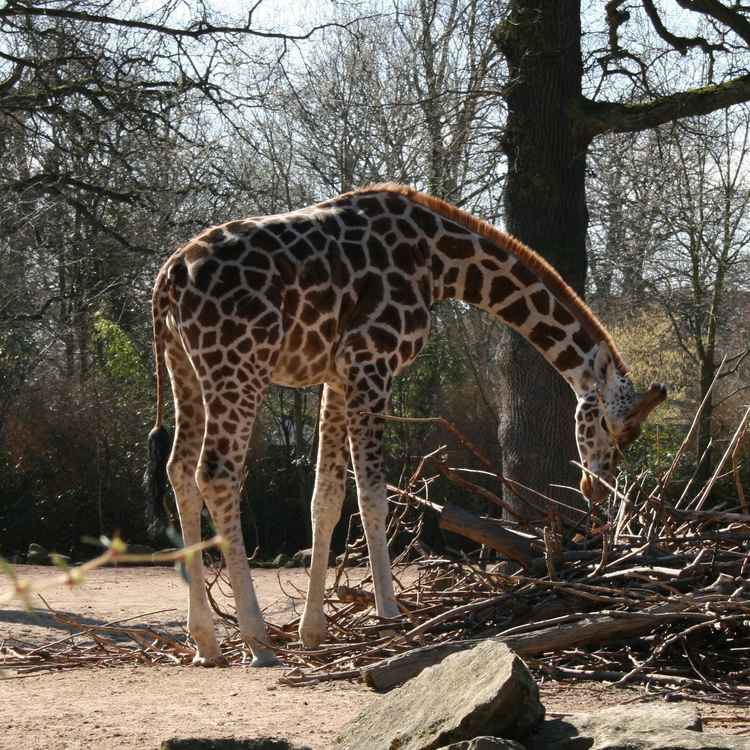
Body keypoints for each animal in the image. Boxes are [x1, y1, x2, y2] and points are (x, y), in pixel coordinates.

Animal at [146, 183, 667, 664]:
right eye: (611, 425)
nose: (596, 487)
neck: (441, 262)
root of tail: (169, 278)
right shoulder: (370, 361)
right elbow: (373, 495)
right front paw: (389, 617)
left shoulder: (338, 374)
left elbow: (326, 497)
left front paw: (314, 632)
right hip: (238, 365)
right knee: (217, 474)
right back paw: (257, 641)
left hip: (185, 367)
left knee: (179, 471)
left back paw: (206, 642)